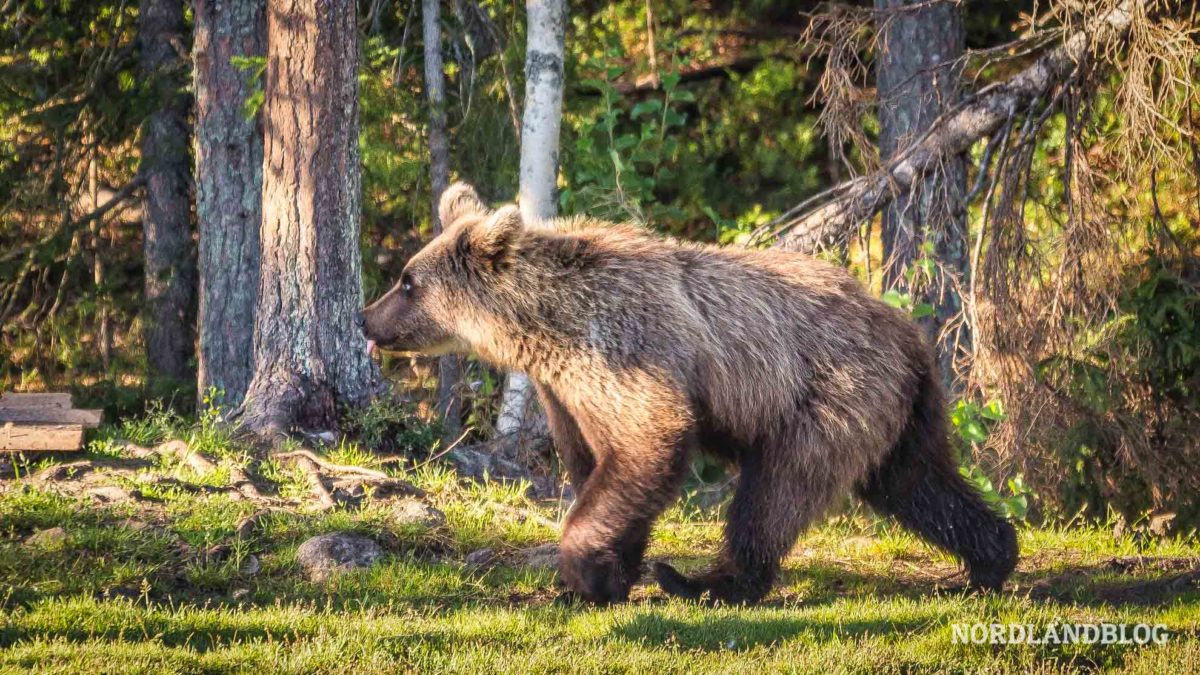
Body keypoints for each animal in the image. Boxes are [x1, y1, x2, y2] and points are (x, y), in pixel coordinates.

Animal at [360, 181, 1017, 600]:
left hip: (826, 396)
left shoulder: (625, 351)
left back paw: (707, 582)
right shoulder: (567, 391)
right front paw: (611, 572)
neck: (542, 326)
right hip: (900, 411)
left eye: (407, 282)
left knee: (776, 494)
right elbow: (602, 465)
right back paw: (990, 557)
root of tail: (909, 334)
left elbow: (650, 440)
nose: (366, 317)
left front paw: (586, 571)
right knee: (917, 482)